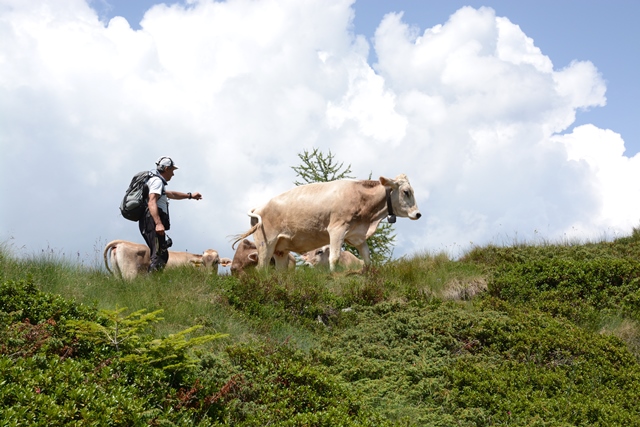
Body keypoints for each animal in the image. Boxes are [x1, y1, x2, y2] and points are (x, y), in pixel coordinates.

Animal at [232, 176, 422, 272]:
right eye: (406, 192)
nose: (418, 214)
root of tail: (260, 206)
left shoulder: (358, 236)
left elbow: (367, 259)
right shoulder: (337, 229)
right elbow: (334, 257)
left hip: (281, 248)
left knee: (280, 270)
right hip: (266, 243)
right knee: (261, 268)